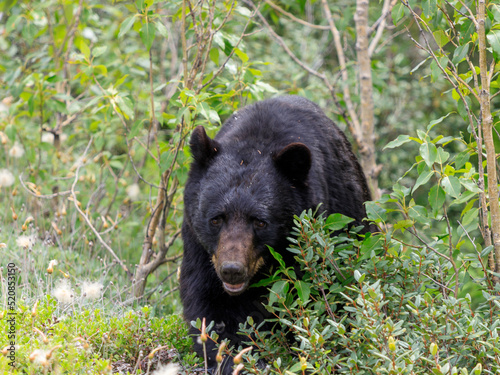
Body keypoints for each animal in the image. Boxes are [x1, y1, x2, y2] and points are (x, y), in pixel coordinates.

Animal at [180, 96, 372, 374]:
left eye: (260, 221)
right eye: (216, 218)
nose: (232, 270)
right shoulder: (200, 248)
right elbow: (209, 307)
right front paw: (234, 357)